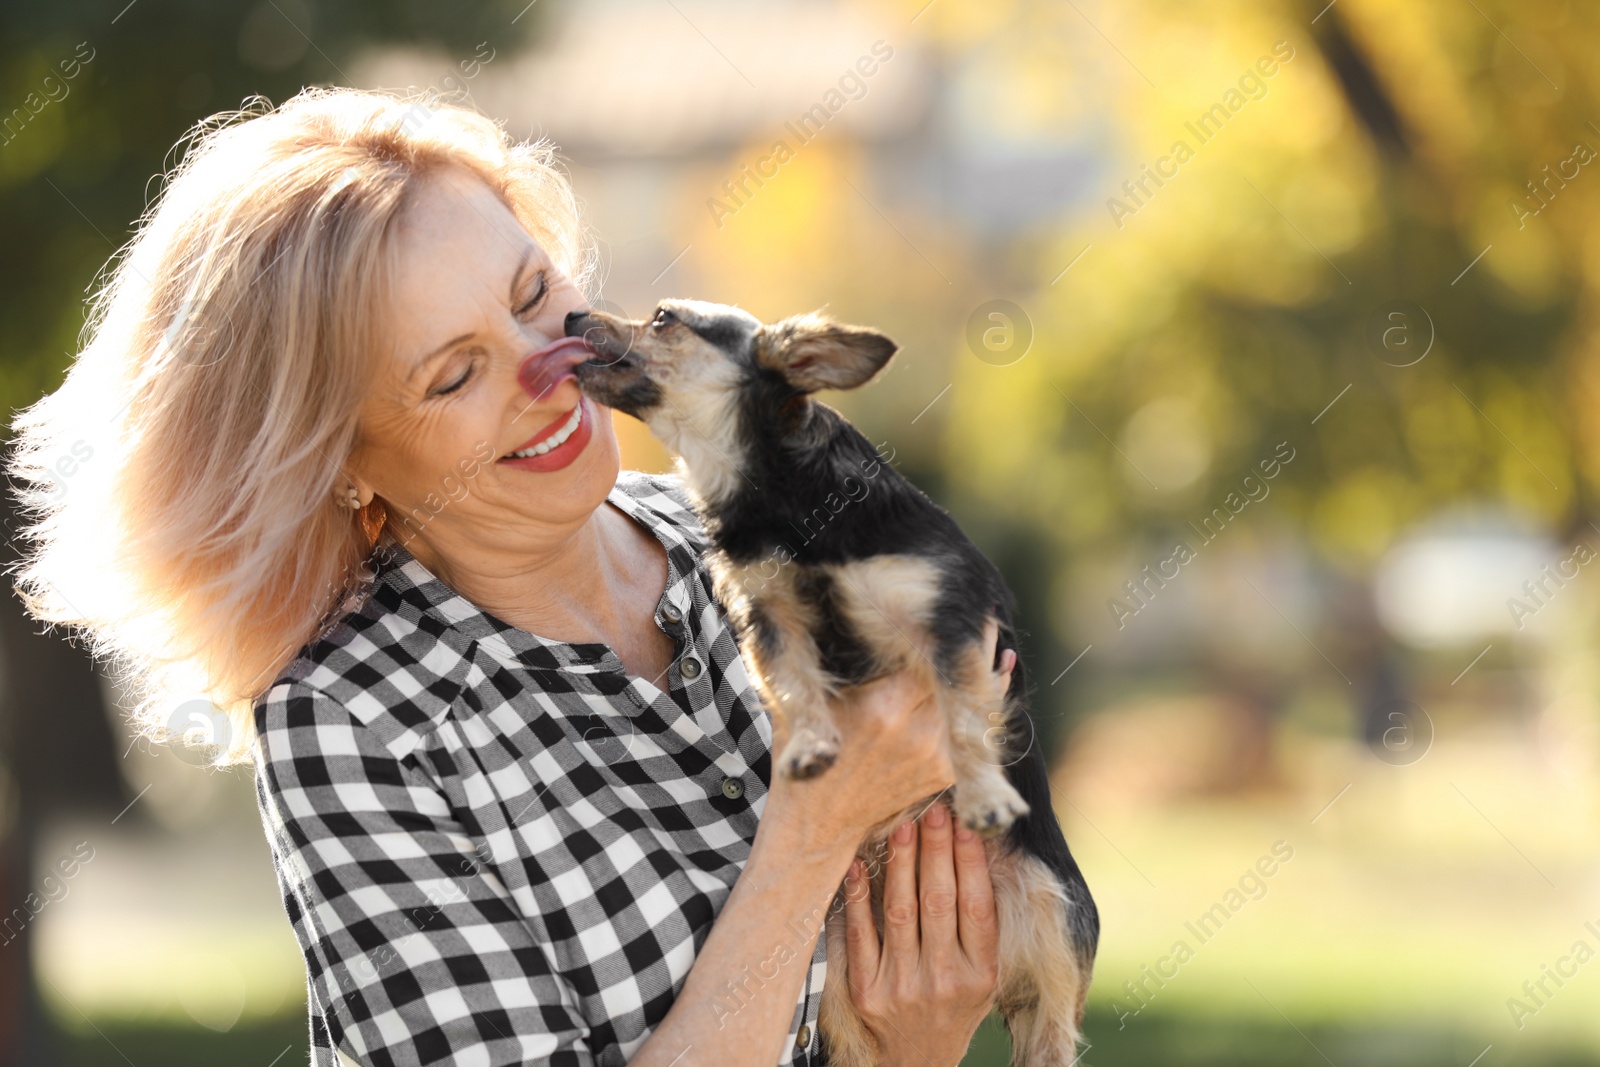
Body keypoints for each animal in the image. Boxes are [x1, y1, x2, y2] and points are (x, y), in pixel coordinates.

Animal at [566, 302, 1100, 1067]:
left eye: (663, 318)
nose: (572, 311)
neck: (781, 499)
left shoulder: (949, 614)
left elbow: (963, 715)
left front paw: (982, 791)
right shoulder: (768, 614)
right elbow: (793, 685)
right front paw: (810, 743)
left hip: (1053, 918)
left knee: (1050, 1031)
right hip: (838, 959)